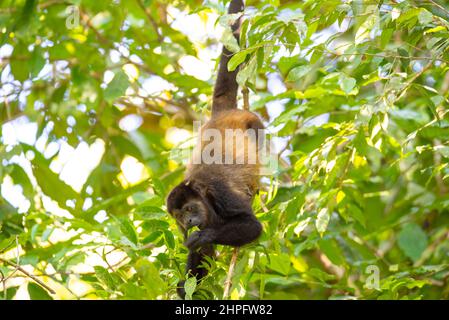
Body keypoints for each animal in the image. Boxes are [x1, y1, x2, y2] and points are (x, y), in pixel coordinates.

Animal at [166, 0, 262, 300]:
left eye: (189, 208)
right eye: (180, 216)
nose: (190, 220)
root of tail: (220, 114)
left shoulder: (219, 192)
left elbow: (252, 225)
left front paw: (203, 235)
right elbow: (202, 255)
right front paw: (186, 287)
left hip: (252, 122)